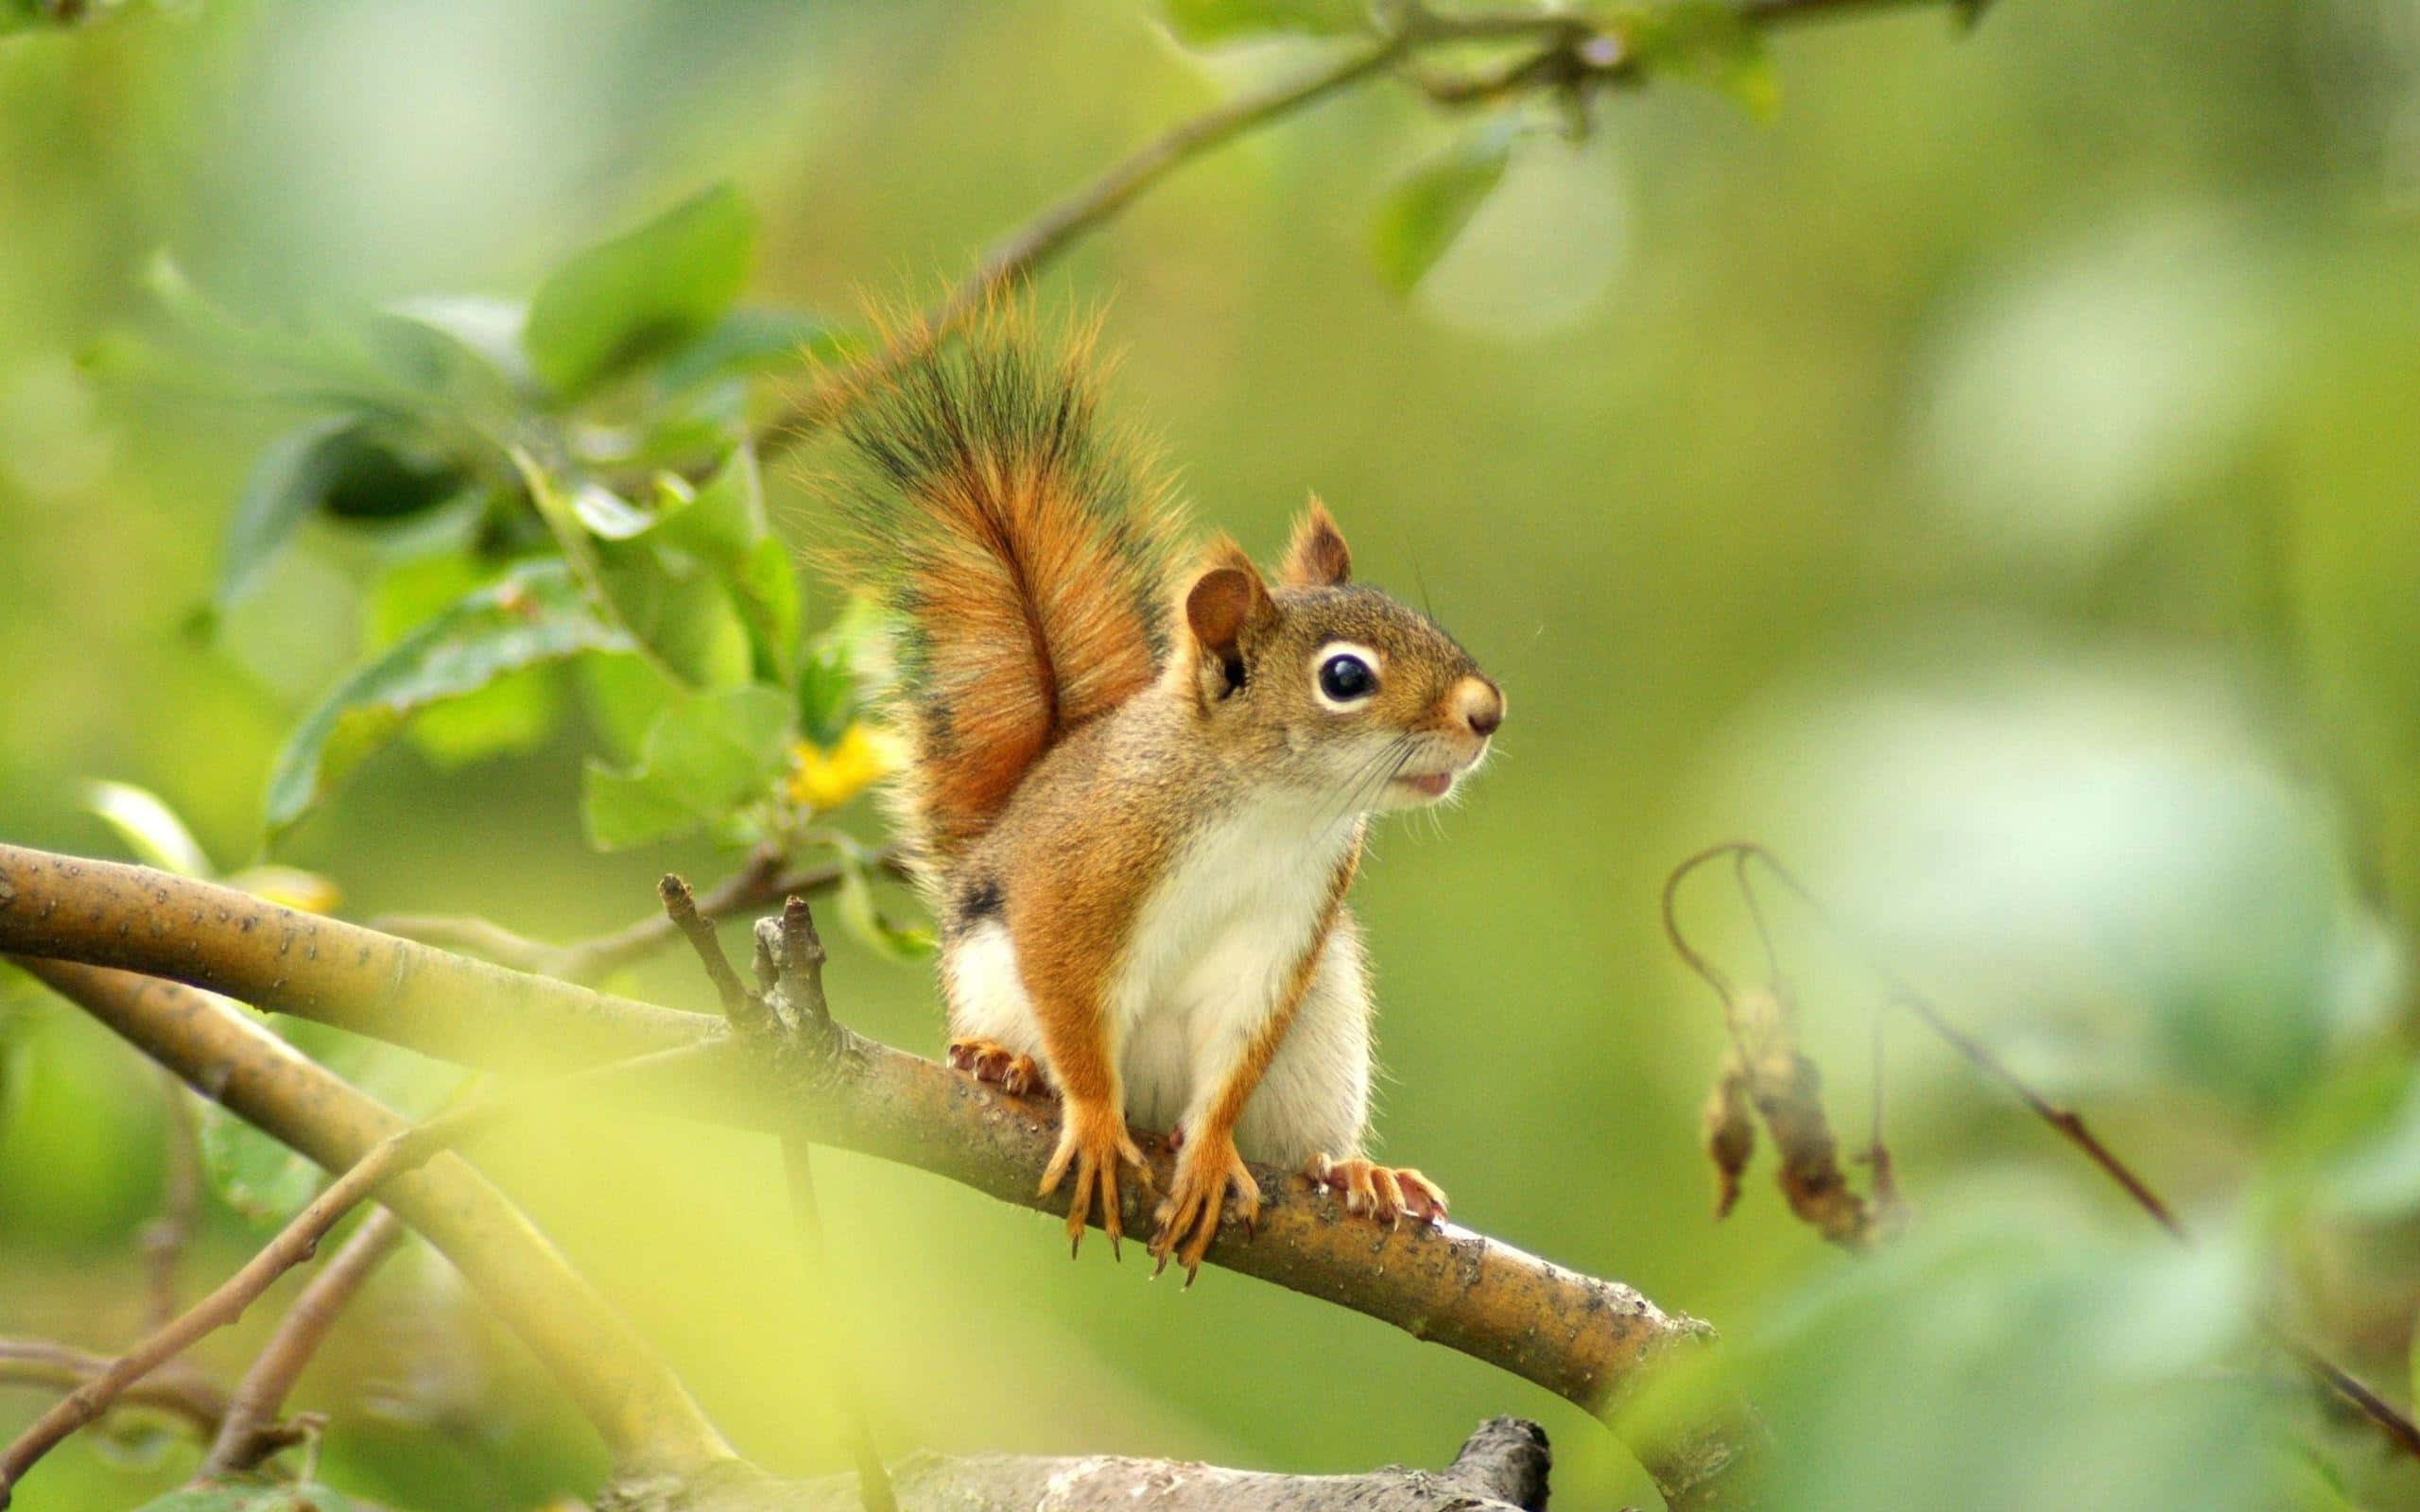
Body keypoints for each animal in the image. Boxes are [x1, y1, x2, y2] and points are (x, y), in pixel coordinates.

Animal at [821, 318, 1504, 1280]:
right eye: (1344, 678)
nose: (1487, 711)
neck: (1269, 808)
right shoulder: (1079, 873)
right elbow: (1071, 998)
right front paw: (1095, 1123)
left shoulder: (1287, 929)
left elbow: (1233, 1057)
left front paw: (1212, 1156)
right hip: (991, 976)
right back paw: (1003, 1064)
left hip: (1325, 1040)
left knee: (1298, 1137)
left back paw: (1356, 1172)